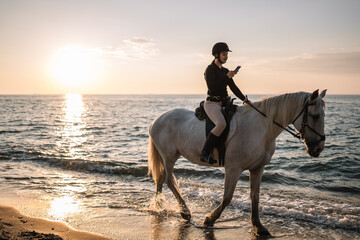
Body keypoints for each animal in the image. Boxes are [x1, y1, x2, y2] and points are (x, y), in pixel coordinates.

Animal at [148, 88, 328, 236]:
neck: (261, 128)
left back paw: (159, 207)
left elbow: (255, 197)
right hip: (169, 156)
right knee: (169, 180)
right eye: (315, 116)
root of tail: (156, 120)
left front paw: (258, 226)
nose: (318, 148)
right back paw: (184, 212)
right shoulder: (233, 168)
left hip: (169, 156)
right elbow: (228, 197)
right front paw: (210, 219)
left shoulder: (257, 169)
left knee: (161, 179)